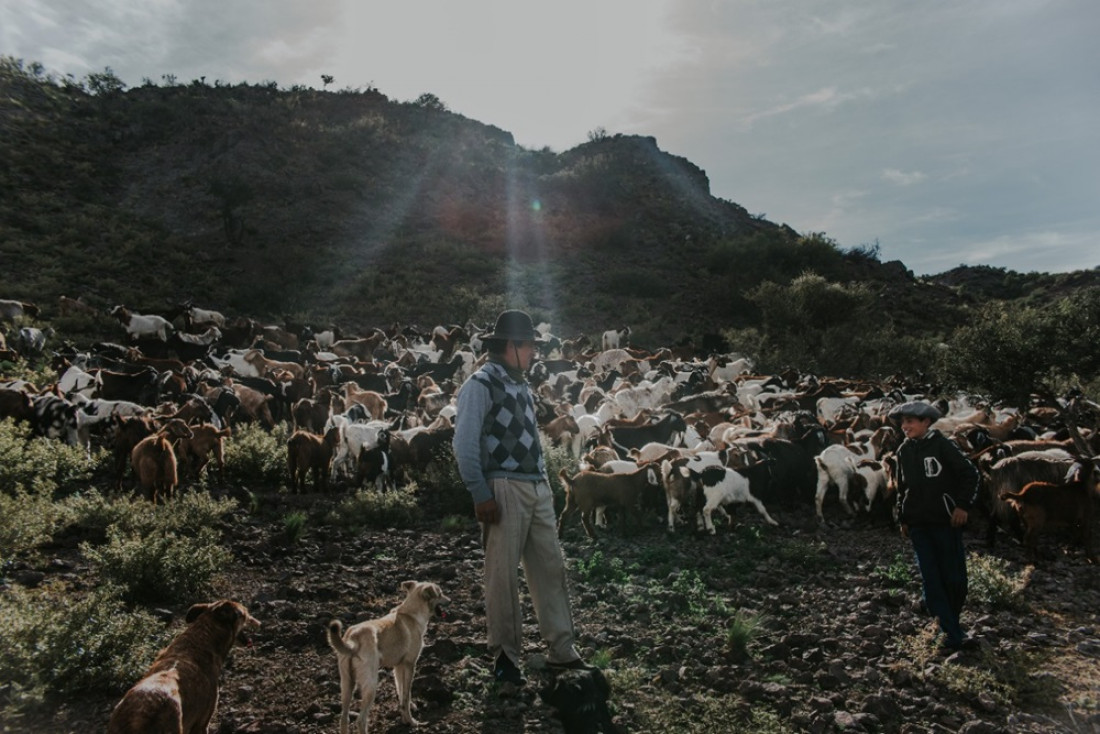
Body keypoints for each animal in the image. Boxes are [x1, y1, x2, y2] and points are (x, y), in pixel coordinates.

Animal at [325, 581, 446, 734]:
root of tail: (353, 638)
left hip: (347, 684)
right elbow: (406, 695)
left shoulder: (399, 667)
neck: (411, 614)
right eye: (440, 594)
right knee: (361, 720)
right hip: (371, 684)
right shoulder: (409, 665)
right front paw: (411, 721)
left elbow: (401, 691)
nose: (449, 600)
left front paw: (406, 714)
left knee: (344, 718)